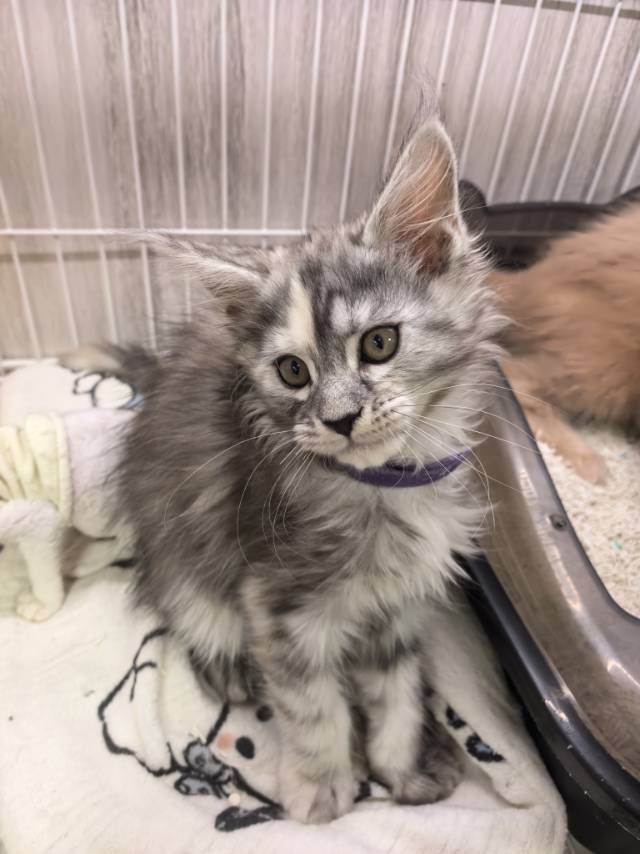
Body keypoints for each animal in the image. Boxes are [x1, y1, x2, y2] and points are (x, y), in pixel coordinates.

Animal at [110, 116, 504, 823]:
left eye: (380, 343)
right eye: (293, 371)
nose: (340, 418)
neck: (387, 488)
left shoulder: (398, 608)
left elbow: (397, 693)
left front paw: (402, 768)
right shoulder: (279, 603)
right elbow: (314, 707)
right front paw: (322, 788)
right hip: (180, 551)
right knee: (192, 610)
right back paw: (229, 669)